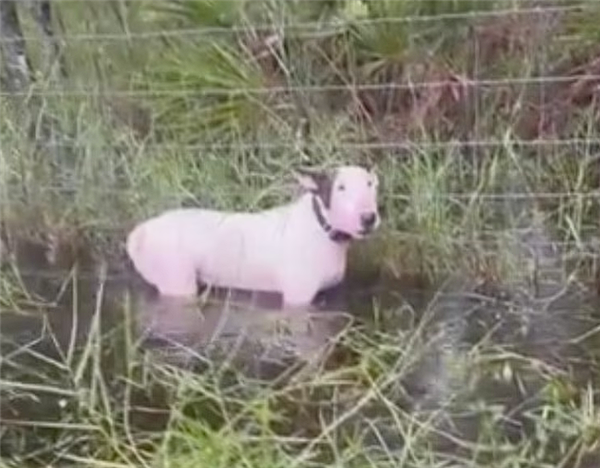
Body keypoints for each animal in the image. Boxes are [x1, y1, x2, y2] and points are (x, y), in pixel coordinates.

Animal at [126, 166, 380, 308]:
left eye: (370, 184)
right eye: (340, 187)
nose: (368, 218)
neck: (321, 229)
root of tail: (140, 232)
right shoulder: (298, 297)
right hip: (177, 282)